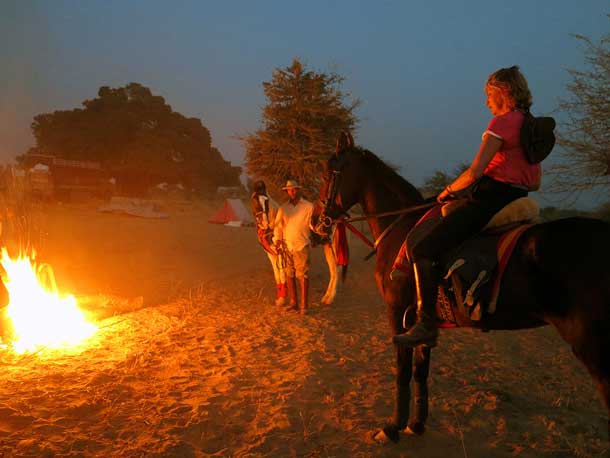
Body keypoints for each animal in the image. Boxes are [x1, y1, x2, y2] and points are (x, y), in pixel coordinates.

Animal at [314, 139, 608, 444]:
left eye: (326, 174)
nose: (316, 222)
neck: (402, 228)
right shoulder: (422, 322)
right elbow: (420, 370)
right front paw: (415, 425)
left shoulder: (397, 313)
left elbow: (403, 370)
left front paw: (392, 428)